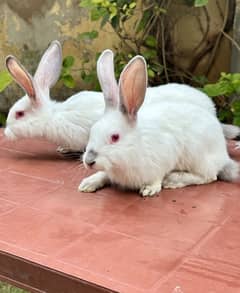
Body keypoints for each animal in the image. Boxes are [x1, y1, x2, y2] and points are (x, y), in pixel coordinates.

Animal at [78, 54, 238, 196]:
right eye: (92, 131)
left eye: (115, 137)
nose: (89, 161)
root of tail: (223, 154)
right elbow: (104, 174)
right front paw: (87, 183)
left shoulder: (163, 158)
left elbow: (157, 176)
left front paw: (149, 189)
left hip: (198, 157)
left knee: (209, 176)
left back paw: (173, 180)